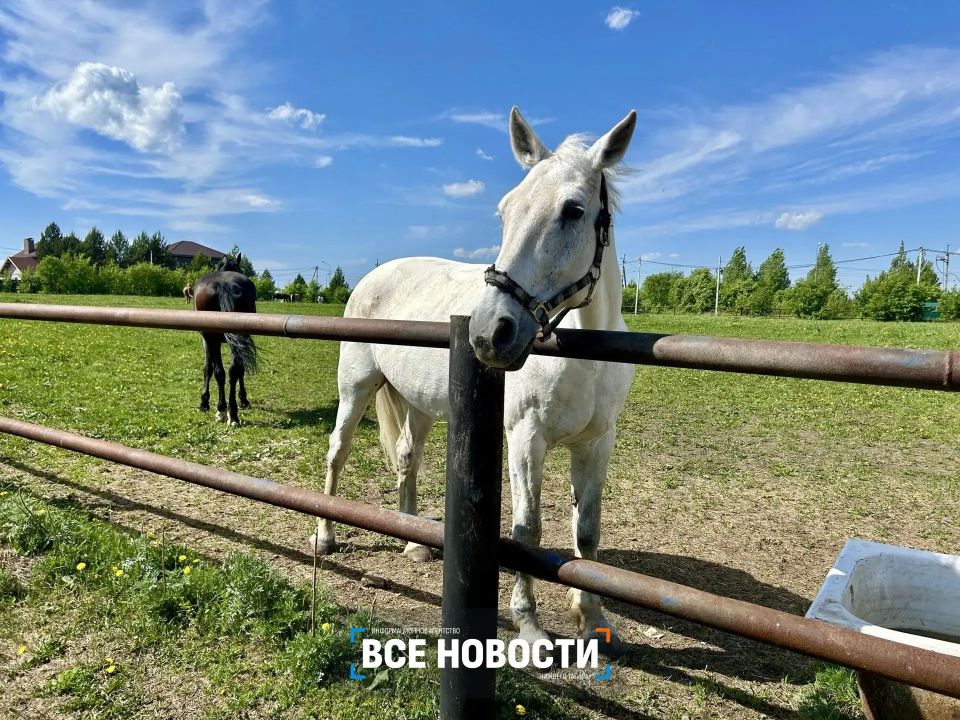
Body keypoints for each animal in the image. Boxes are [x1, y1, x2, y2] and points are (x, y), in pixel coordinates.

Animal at [193, 253, 258, 426]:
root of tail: (225, 284)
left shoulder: (207, 340)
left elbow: (208, 368)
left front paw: (204, 402)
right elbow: (235, 370)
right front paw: (243, 400)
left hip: (214, 338)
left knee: (222, 372)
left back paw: (223, 410)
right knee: (230, 371)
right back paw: (231, 413)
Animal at [312, 108, 637, 645]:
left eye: (573, 210)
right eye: (505, 211)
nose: (489, 332)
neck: (583, 356)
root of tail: (373, 276)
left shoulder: (597, 442)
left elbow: (587, 531)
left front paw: (591, 618)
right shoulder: (525, 438)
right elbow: (527, 530)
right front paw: (528, 625)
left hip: (420, 404)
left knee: (408, 456)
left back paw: (414, 541)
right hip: (355, 388)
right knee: (337, 452)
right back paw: (324, 535)